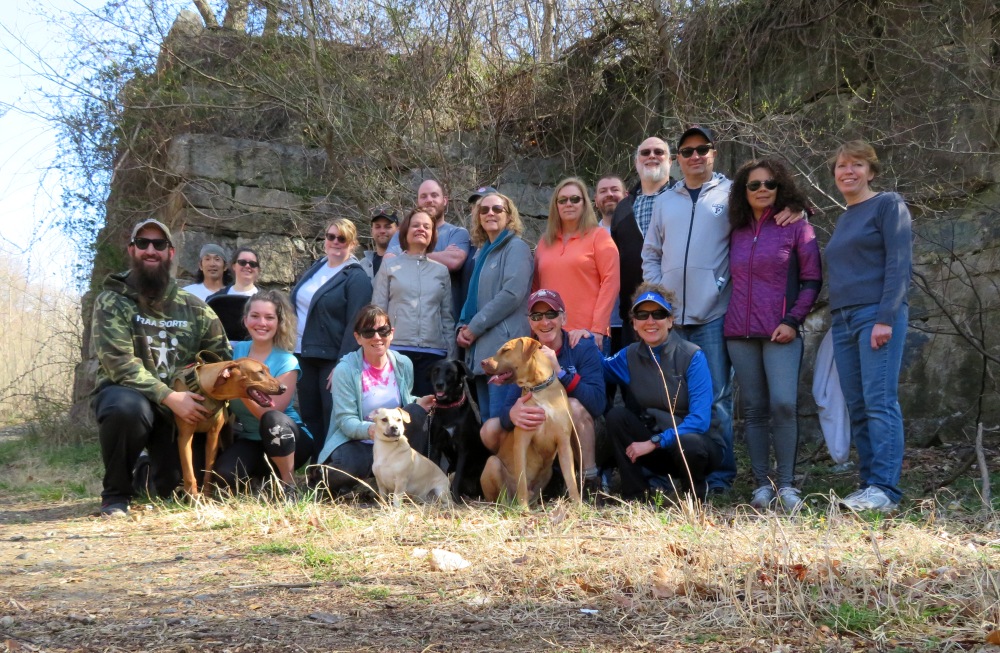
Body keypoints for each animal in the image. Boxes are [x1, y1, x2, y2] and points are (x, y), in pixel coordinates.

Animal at [172, 354, 286, 496]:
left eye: (268, 371)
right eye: (260, 372)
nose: (284, 388)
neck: (205, 392)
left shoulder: (213, 436)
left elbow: (208, 471)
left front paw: (207, 495)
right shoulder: (185, 436)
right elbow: (188, 474)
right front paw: (193, 497)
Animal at [428, 360, 490, 496]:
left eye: (450, 372)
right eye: (435, 371)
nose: (439, 384)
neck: (449, 407)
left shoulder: (463, 449)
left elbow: (457, 479)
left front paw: (455, 497)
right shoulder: (436, 447)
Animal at [480, 336, 584, 504]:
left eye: (506, 350)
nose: (482, 362)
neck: (538, 387)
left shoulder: (564, 443)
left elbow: (571, 480)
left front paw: (577, 505)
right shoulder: (522, 442)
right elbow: (521, 480)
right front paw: (523, 507)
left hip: (548, 472)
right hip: (492, 463)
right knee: (502, 496)